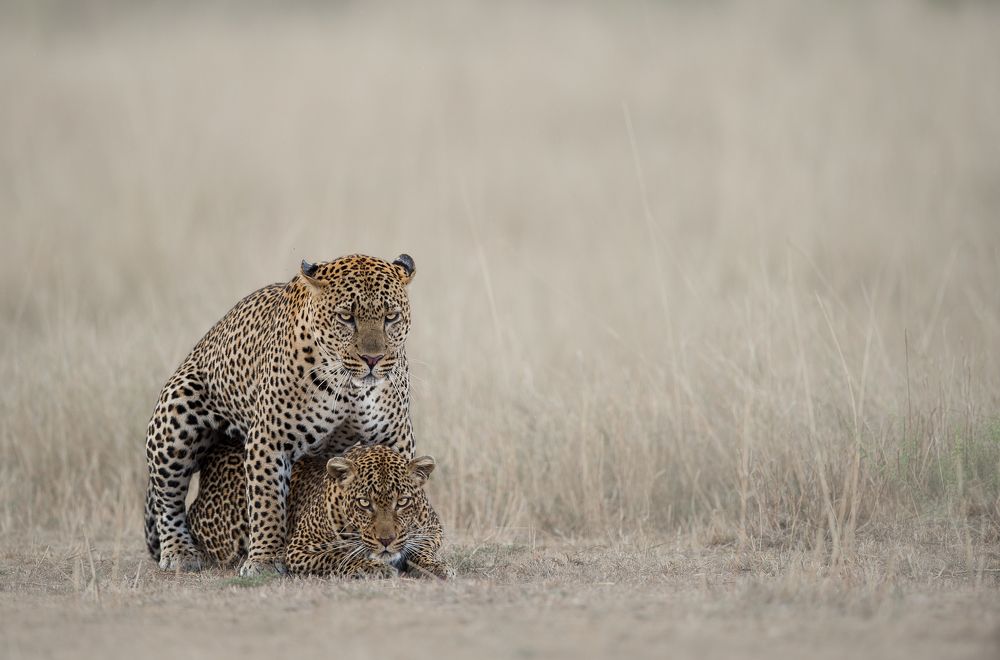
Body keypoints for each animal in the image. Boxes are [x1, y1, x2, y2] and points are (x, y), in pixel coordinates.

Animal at [144, 253, 418, 577]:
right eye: (346, 318)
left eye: (391, 317)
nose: (373, 359)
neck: (350, 388)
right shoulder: (269, 438)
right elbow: (267, 501)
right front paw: (263, 560)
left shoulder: (395, 437)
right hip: (175, 416)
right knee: (167, 500)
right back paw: (179, 552)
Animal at [188, 442, 450, 579]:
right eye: (364, 503)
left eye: (402, 502)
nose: (386, 540)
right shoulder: (298, 548)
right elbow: (338, 556)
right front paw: (373, 567)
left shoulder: (433, 528)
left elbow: (422, 547)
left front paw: (437, 566)